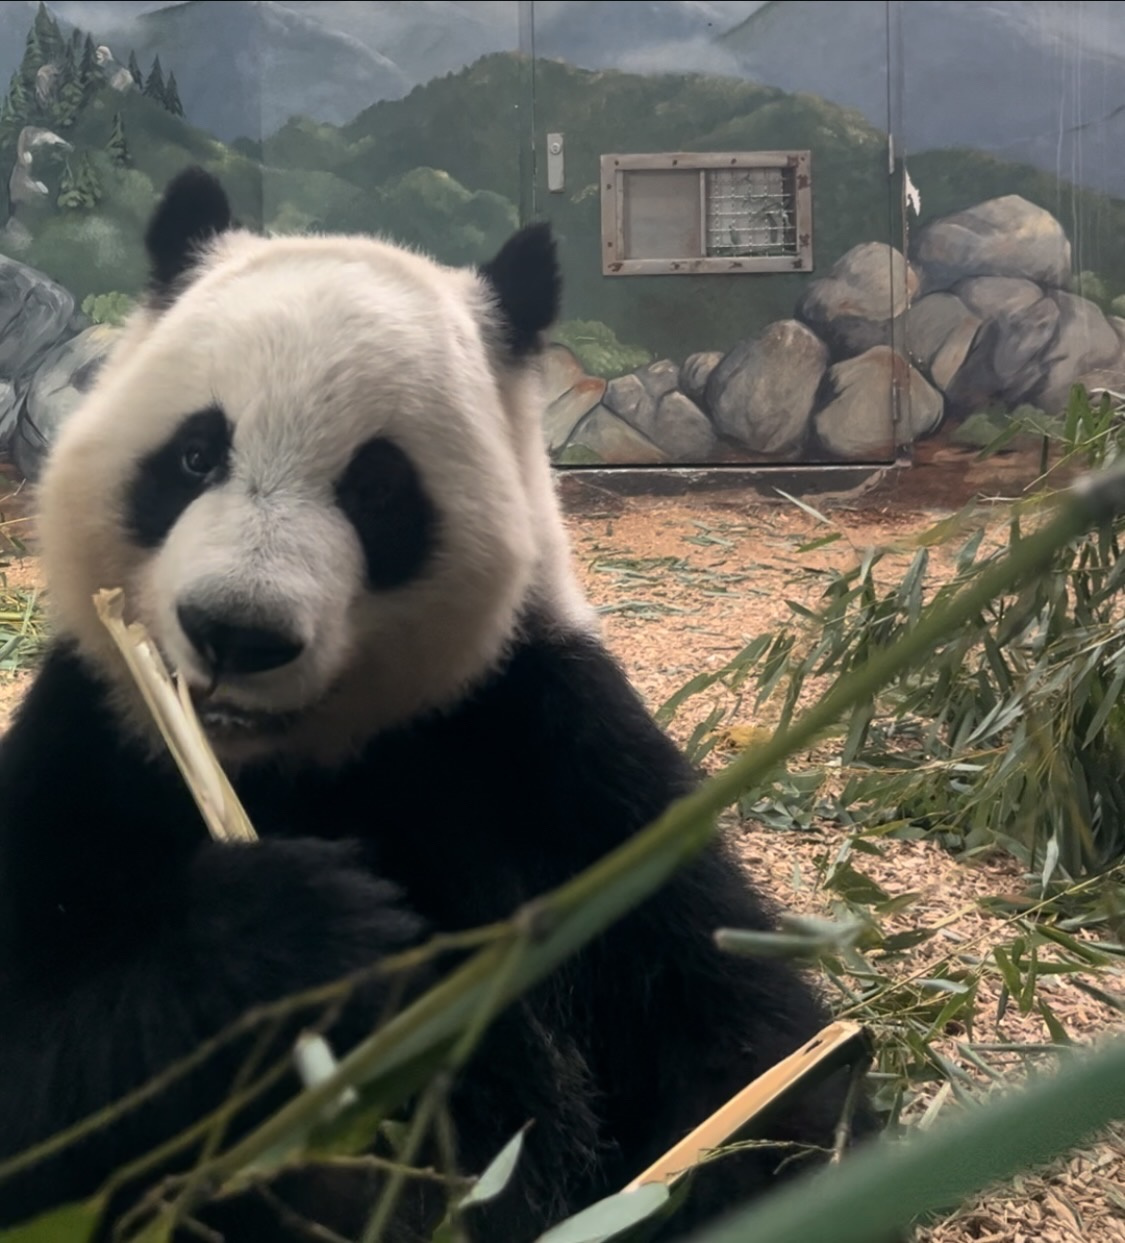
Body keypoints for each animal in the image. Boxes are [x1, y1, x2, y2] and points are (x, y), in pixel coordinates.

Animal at [0, 167, 876, 1242]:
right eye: (197, 455)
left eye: (376, 488)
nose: (237, 632)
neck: (289, 762)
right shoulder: (93, 742)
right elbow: (34, 1082)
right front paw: (298, 934)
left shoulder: (542, 735)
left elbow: (735, 1019)